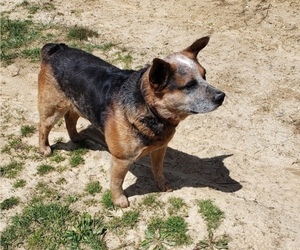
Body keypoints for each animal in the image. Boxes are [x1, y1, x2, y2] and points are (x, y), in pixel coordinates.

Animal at [38, 36, 225, 207]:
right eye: (189, 85)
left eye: (205, 76)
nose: (222, 96)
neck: (150, 108)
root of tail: (56, 48)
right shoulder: (122, 159)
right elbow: (117, 182)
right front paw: (118, 200)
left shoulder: (160, 148)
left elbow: (158, 168)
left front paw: (162, 184)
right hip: (53, 108)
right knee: (43, 126)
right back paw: (44, 148)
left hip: (79, 103)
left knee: (70, 117)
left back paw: (75, 137)